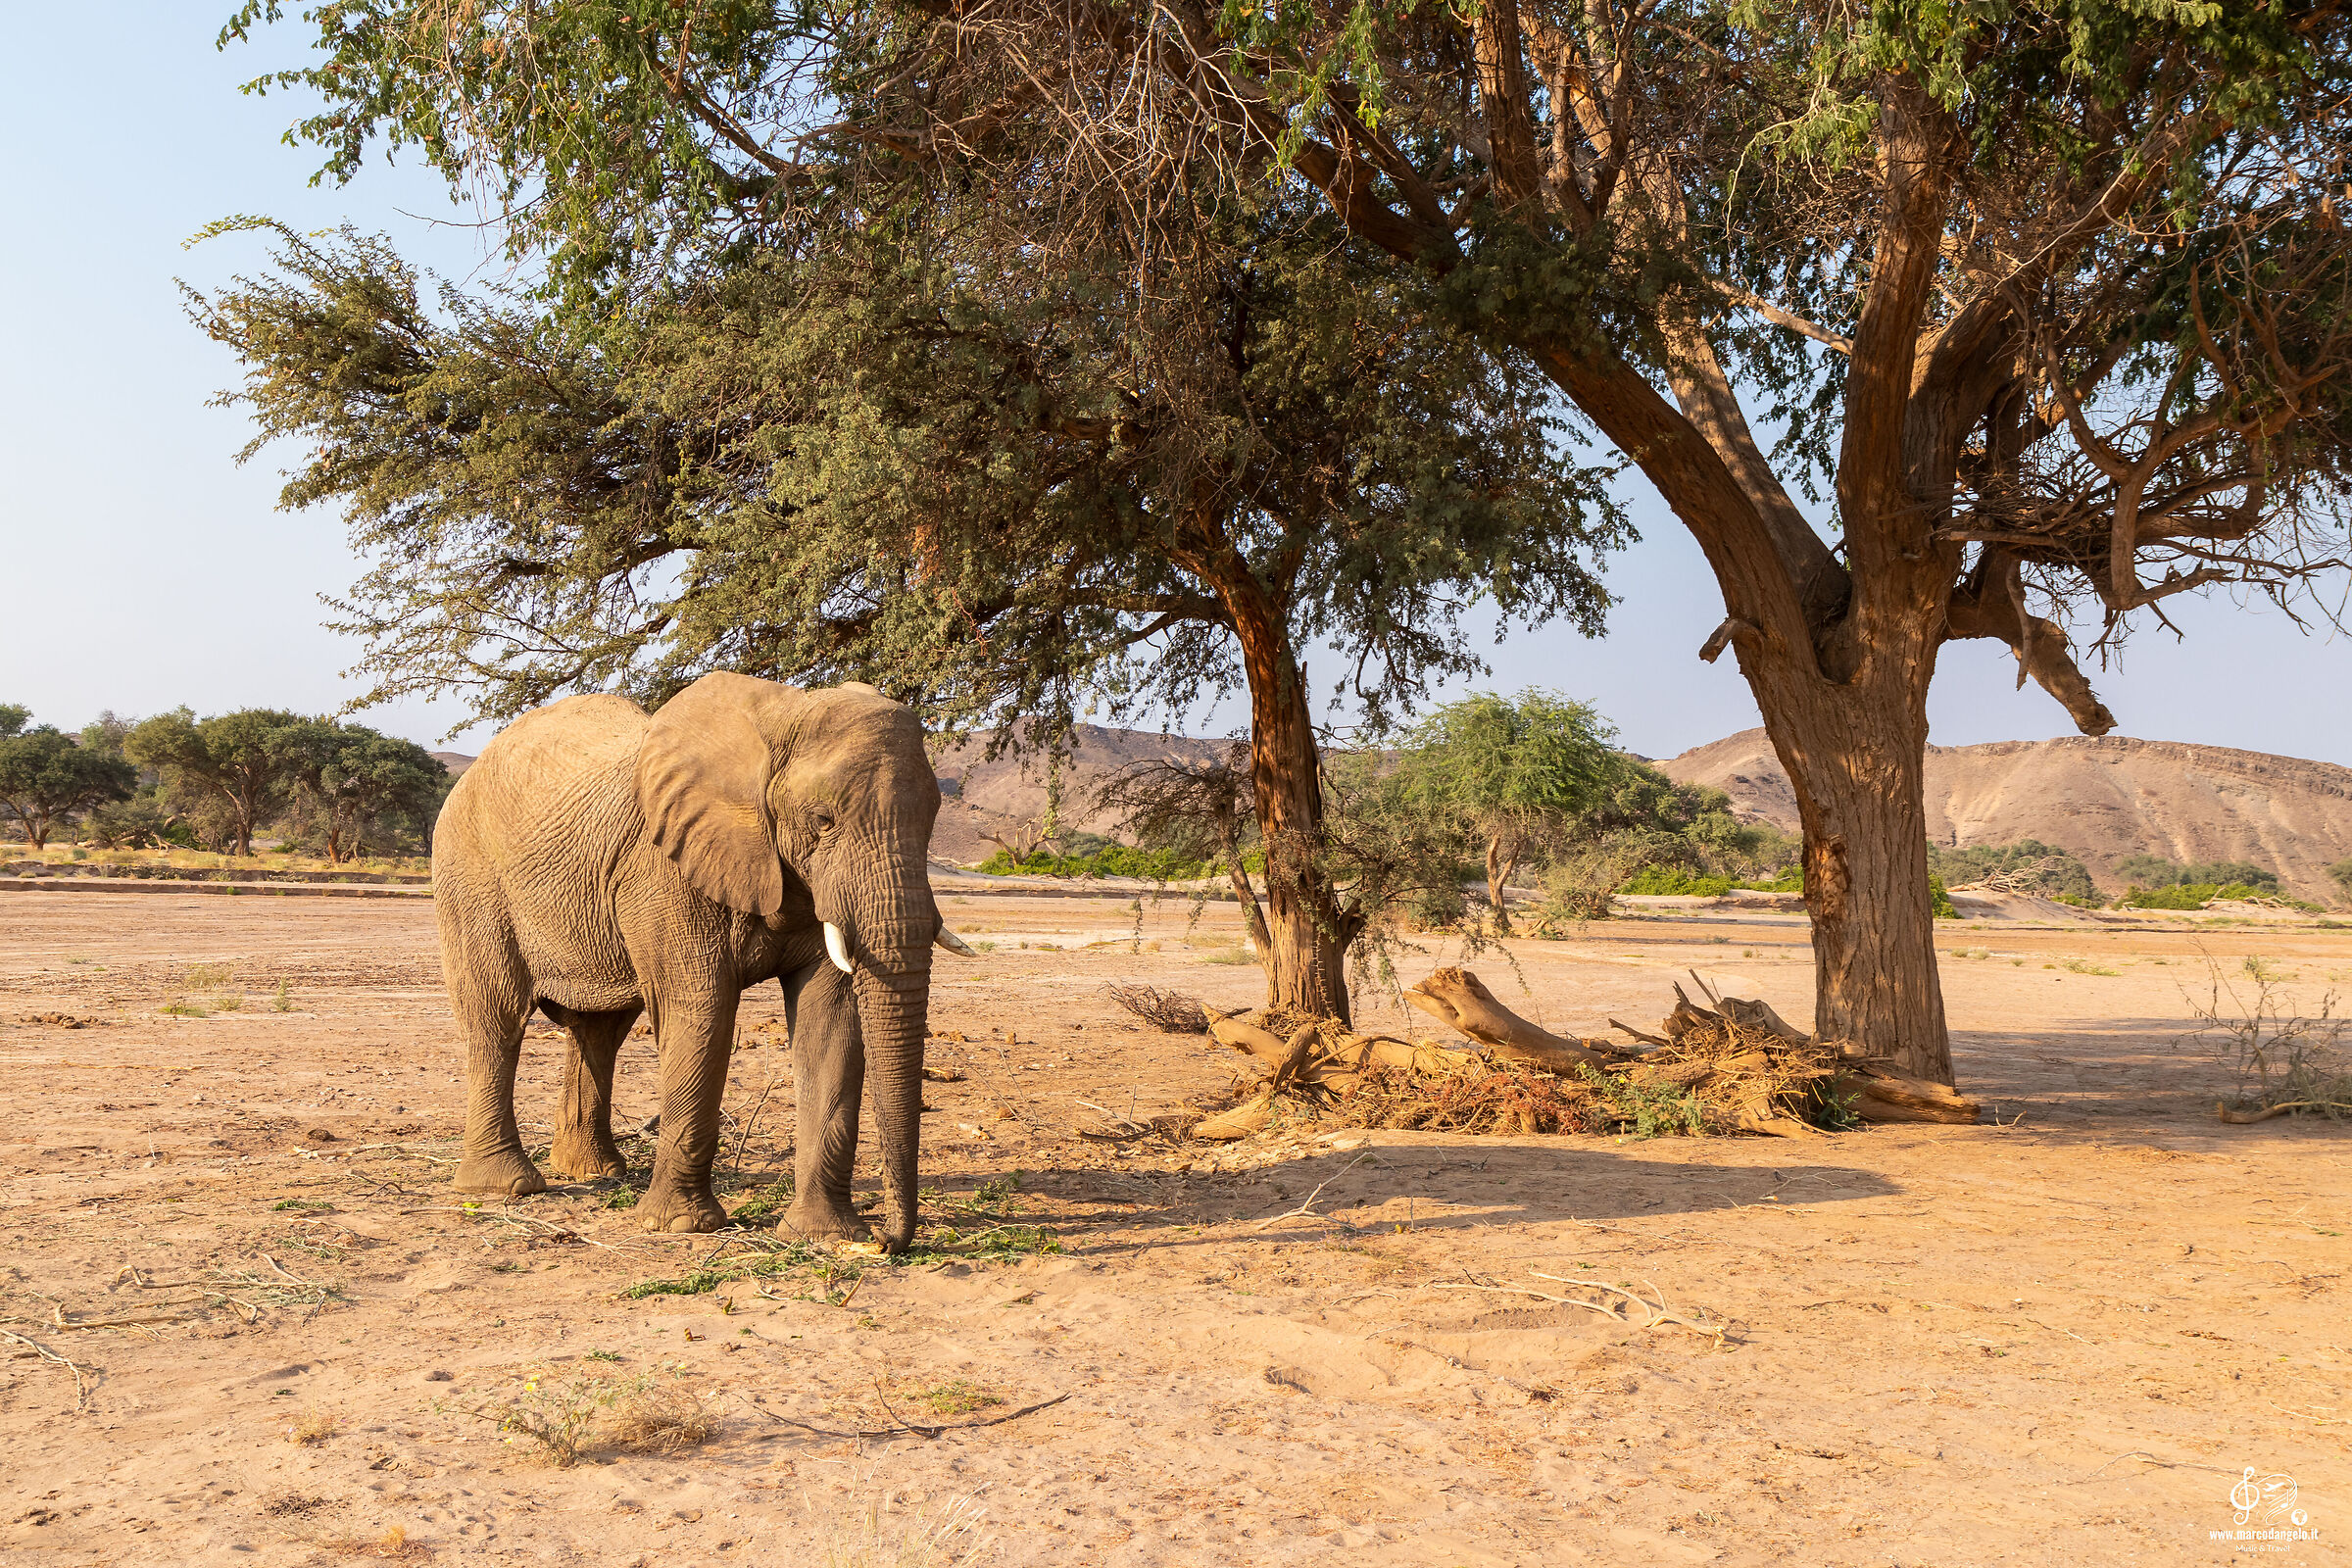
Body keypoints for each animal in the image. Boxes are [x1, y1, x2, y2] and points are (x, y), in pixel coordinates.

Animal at [430, 672, 970, 1243]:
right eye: (822, 819)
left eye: (933, 819)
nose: (888, 1240)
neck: (778, 718)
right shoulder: (664, 871)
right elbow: (702, 1010)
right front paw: (681, 1226)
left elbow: (830, 1022)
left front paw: (825, 1236)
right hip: (470, 873)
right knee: (498, 1019)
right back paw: (507, 1187)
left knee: (599, 1030)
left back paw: (595, 1171)